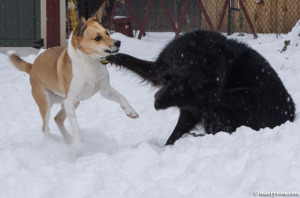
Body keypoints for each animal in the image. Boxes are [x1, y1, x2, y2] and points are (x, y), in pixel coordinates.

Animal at [8, 3, 138, 152]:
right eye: (97, 38)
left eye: (107, 32)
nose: (118, 42)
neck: (89, 62)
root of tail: (32, 66)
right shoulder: (69, 101)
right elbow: (76, 126)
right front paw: (78, 144)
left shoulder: (104, 90)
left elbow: (122, 97)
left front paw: (130, 111)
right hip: (47, 103)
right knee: (45, 127)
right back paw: (52, 144)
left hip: (72, 103)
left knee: (57, 119)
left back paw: (68, 139)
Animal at [108, 30, 296, 145]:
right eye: (176, 88)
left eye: (183, 94)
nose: (157, 104)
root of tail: (291, 115)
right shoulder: (158, 69)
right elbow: (131, 60)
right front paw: (112, 57)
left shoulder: (193, 108)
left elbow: (175, 134)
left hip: (241, 99)